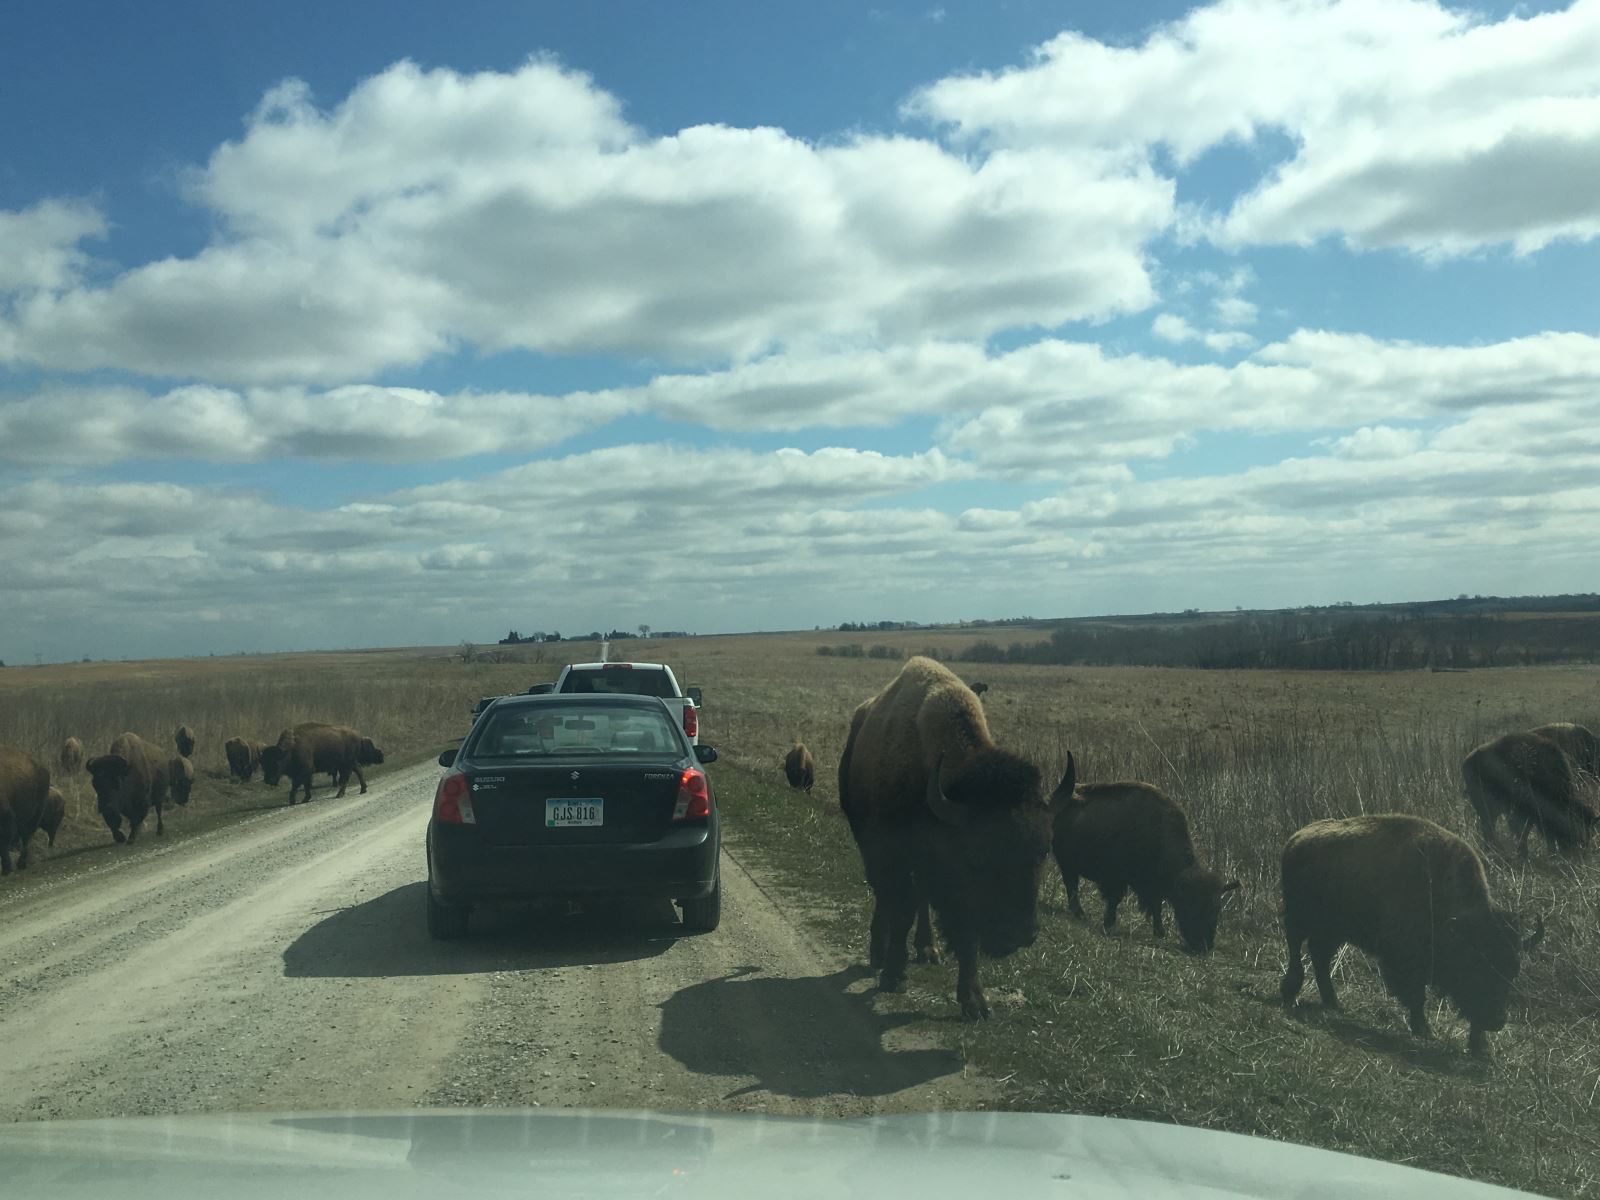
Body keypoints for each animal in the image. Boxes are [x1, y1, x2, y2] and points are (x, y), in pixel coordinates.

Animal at [0, 748, 50, 876]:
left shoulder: (6, 816)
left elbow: (3, 841)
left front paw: (7, 868)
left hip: (36, 814)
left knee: (27, 837)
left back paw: (21, 863)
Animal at [838, 659, 1075, 1024]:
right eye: (976, 856)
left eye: (1044, 850)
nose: (1020, 934)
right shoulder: (895, 860)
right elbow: (901, 910)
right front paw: (894, 975)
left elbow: (965, 934)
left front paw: (975, 1002)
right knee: (886, 898)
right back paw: (881, 953)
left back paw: (927, 948)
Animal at [1056, 780, 1241, 960]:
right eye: (1193, 904)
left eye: (1216, 909)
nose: (1205, 946)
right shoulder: (1117, 880)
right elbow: (1115, 901)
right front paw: (1109, 925)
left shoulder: (1153, 888)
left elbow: (1156, 908)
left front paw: (1160, 933)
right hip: (1067, 864)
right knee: (1071, 886)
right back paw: (1079, 914)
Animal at [1273, 812, 1536, 1056]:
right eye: (1476, 965)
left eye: (1512, 971)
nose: (1497, 1021)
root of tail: (1297, 839)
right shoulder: (1406, 960)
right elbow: (1416, 995)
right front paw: (1425, 1030)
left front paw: (1480, 1048)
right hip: (1302, 916)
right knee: (1296, 946)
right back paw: (1290, 991)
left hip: (1334, 930)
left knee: (1319, 956)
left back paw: (1333, 1003)